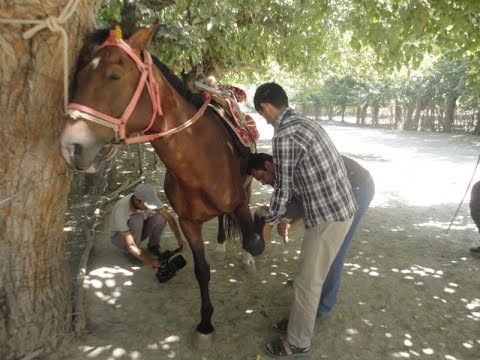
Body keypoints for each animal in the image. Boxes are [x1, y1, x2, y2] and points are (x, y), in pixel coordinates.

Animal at [59, 24, 266, 346]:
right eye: (77, 77)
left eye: (114, 76)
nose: (71, 147)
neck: (200, 161)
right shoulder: (188, 222)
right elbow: (201, 270)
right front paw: (205, 324)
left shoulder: (239, 203)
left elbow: (253, 240)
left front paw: (254, 240)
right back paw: (220, 245)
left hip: (246, 188)